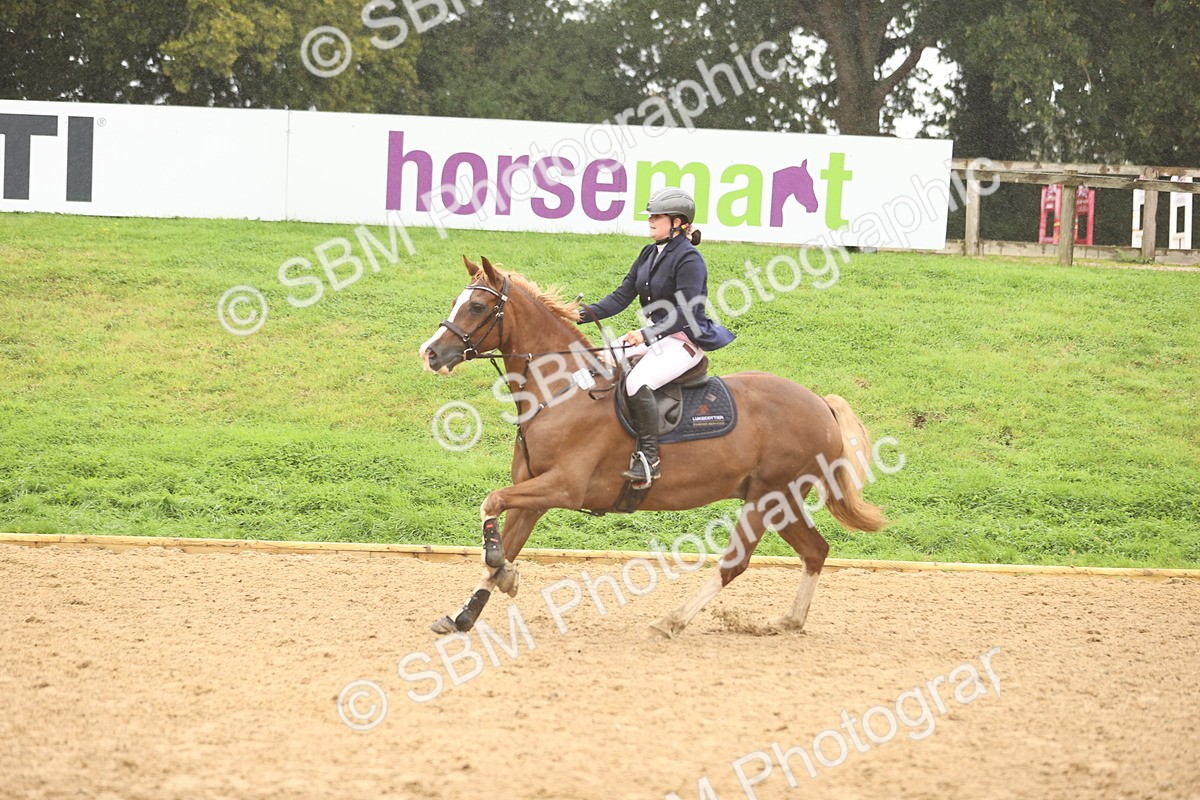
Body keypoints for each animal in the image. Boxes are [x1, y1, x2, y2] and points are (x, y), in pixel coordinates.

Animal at [418, 256, 887, 638]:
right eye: (458, 302)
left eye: (477, 308)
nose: (431, 353)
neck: (561, 391)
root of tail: (820, 404)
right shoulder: (535, 496)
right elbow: (504, 540)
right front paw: (466, 613)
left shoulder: (562, 487)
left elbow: (491, 503)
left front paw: (503, 573)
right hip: (779, 500)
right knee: (816, 551)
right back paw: (789, 621)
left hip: (769, 496)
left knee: (736, 562)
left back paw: (671, 621)